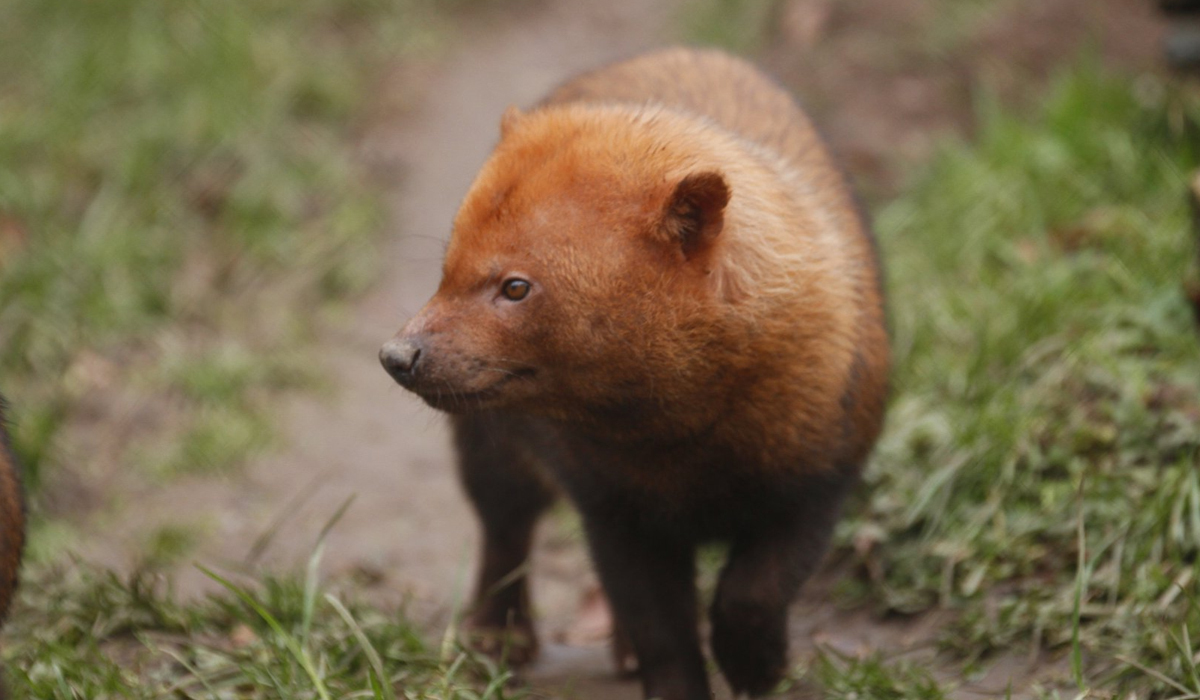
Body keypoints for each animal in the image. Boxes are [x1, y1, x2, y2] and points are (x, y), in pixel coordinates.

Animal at [379, 48, 888, 700]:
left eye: (515, 286)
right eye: (446, 267)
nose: (398, 354)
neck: (687, 447)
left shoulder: (820, 482)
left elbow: (753, 594)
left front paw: (759, 669)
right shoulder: (613, 511)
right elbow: (662, 634)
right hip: (488, 444)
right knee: (504, 532)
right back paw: (497, 642)